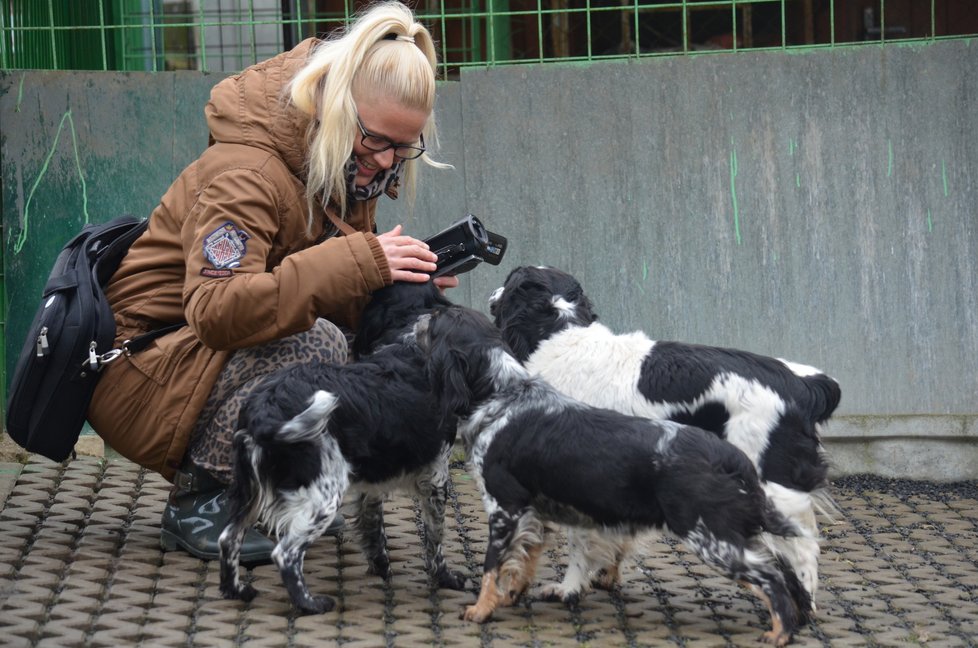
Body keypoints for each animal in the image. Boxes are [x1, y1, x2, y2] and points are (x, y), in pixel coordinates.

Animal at [219, 282, 464, 612]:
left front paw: (381, 566)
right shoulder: (436, 476)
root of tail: (266, 407)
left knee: (228, 538)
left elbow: (374, 527)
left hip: (250, 490)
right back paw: (310, 604)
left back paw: (236, 591)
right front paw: (447, 578)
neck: (409, 342)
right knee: (286, 554)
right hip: (322, 496)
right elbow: (435, 540)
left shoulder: (373, 482)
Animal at [416, 306, 812, 648]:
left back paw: (779, 633)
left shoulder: (505, 508)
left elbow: (491, 566)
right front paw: (512, 595)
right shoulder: (533, 514)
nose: (419, 315)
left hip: (712, 538)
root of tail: (732, 458)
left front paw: (481, 610)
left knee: (773, 578)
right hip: (735, 534)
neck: (503, 397)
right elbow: (523, 561)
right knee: (787, 572)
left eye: (436, 320)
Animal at [488, 264, 840, 608]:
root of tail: (803, 383)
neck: (562, 336)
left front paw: (569, 588)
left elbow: (579, 542)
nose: (491, 294)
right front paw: (606, 574)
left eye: (509, 278)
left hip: (773, 486)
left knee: (804, 547)